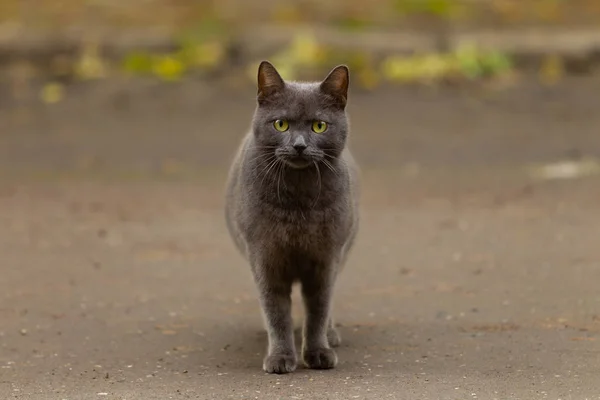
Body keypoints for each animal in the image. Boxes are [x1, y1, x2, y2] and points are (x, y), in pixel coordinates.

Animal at [224, 61, 356, 374]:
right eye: (281, 124)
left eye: (319, 125)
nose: (299, 145)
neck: (298, 205)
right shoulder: (264, 256)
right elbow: (276, 311)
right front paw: (280, 357)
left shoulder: (327, 257)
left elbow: (319, 308)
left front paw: (319, 352)